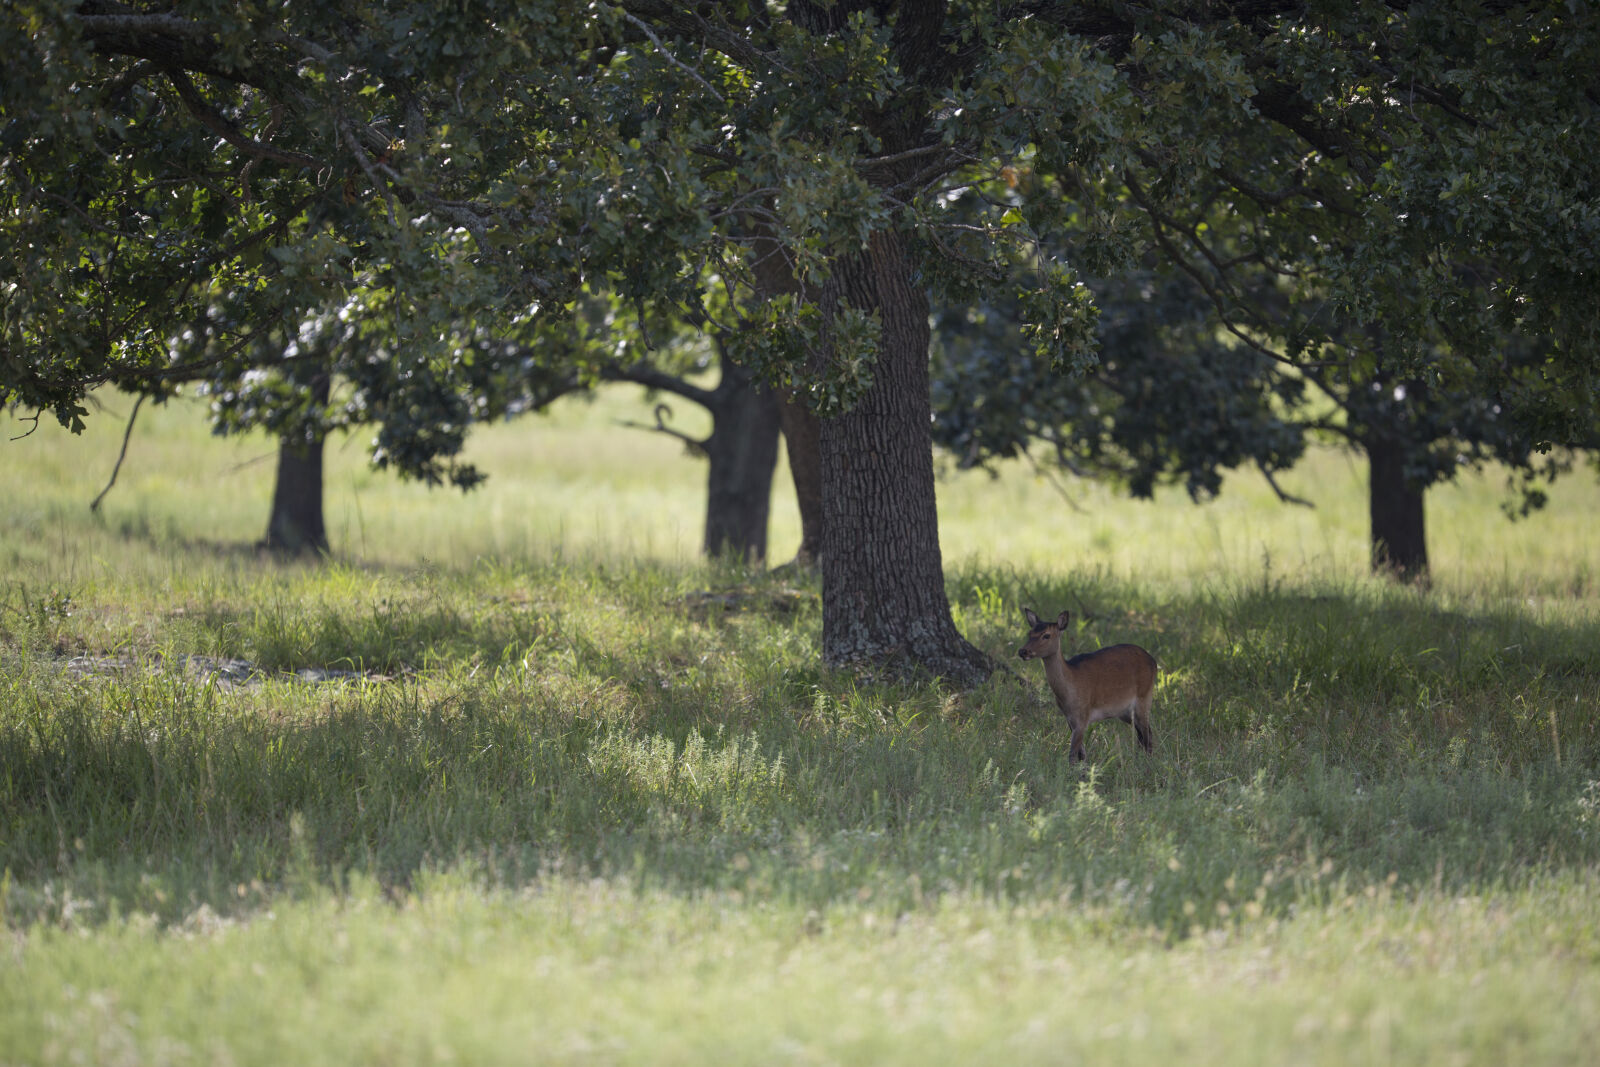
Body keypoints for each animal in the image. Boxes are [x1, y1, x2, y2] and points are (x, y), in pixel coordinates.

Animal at [1017, 604, 1158, 764]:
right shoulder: (1070, 719)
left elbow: (1072, 755)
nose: (1023, 651)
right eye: (1029, 633)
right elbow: (1081, 754)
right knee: (1143, 734)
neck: (1069, 692)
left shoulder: (1083, 716)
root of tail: (1154, 662)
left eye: (1046, 635)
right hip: (1126, 712)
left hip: (1144, 698)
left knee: (1147, 734)